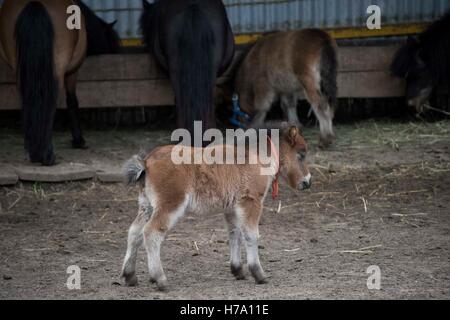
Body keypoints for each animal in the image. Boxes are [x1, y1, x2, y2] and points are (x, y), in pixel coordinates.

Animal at [0, 0, 87, 165]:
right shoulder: (73, 71)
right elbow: (72, 101)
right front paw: (78, 140)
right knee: (50, 102)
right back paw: (46, 155)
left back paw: (32, 151)